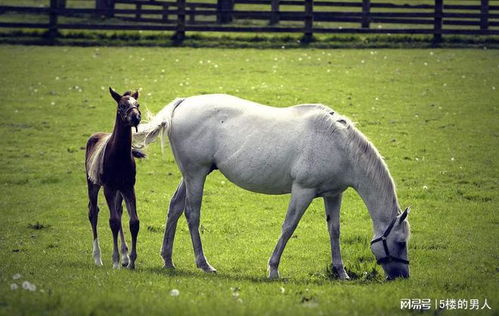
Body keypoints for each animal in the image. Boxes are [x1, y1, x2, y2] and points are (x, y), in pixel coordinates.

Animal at [135, 93, 412, 278]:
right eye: (401, 243)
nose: (402, 277)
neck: (338, 144)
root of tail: (183, 102)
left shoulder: (334, 195)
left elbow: (334, 231)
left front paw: (341, 272)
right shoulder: (303, 191)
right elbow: (288, 227)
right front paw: (273, 269)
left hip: (191, 175)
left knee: (174, 208)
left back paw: (168, 260)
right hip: (196, 174)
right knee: (192, 214)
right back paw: (203, 264)